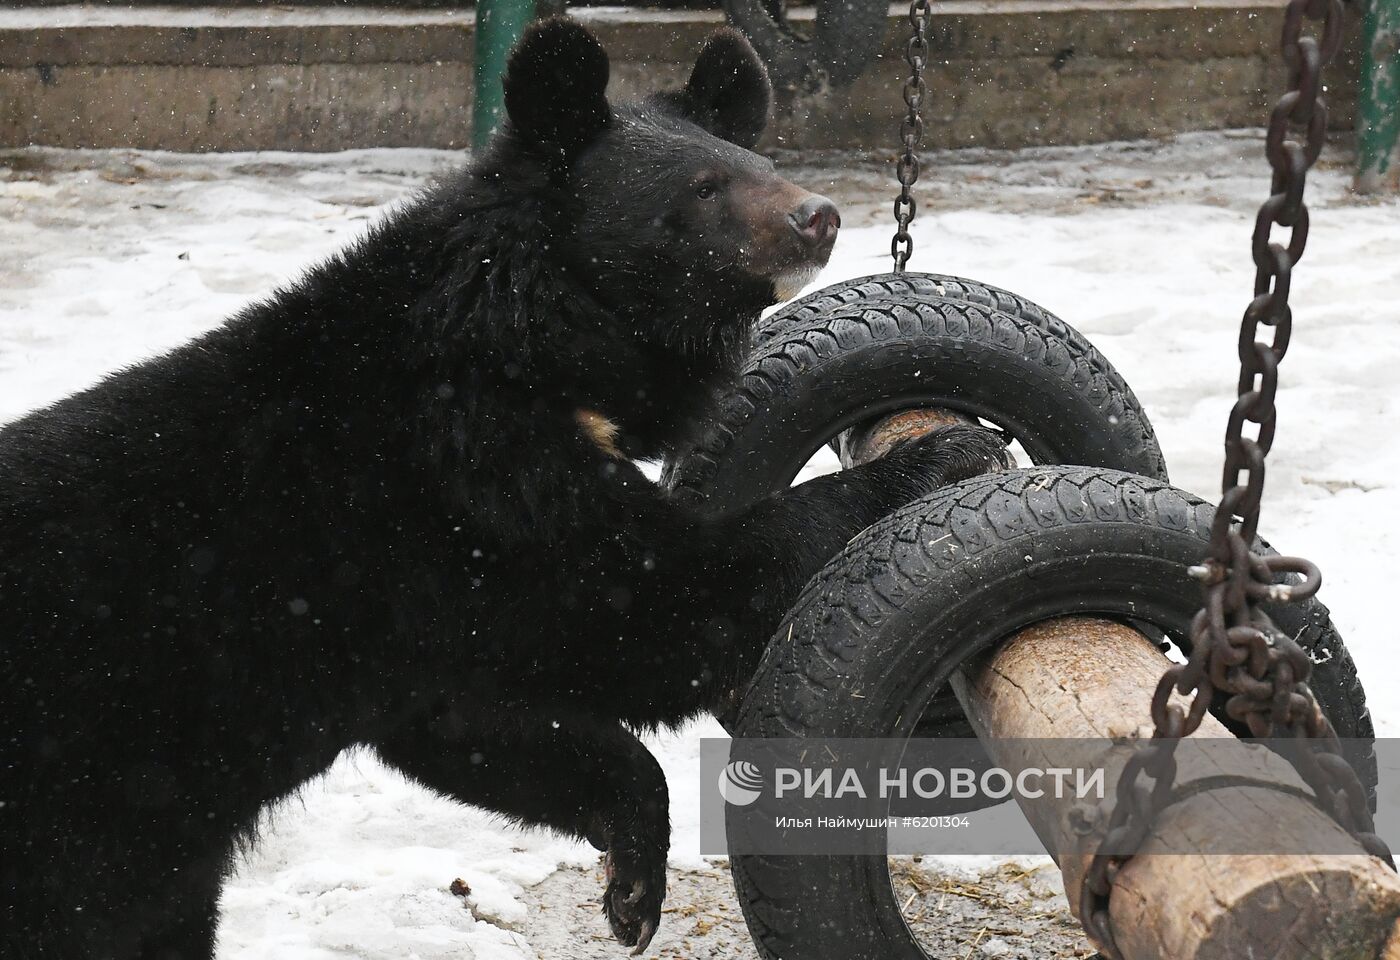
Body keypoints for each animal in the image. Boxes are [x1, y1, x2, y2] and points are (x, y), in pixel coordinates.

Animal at [0, 16, 1008, 960]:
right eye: (701, 188)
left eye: (760, 162)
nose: (821, 217)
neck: (530, 334)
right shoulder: (465, 484)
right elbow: (642, 601)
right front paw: (946, 451)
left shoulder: (418, 641)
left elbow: (479, 723)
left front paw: (631, 893)